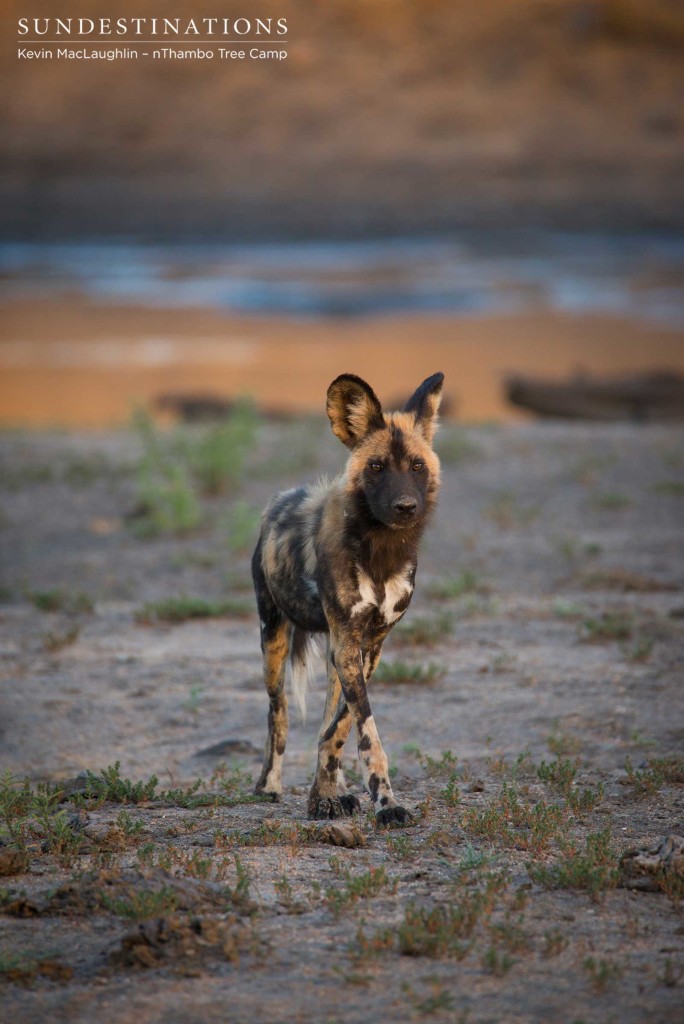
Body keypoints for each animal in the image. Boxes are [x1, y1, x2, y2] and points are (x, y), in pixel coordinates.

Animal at [250, 372, 444, 827]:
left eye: (417, 466)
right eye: (376, 467)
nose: (405, 506)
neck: (381, 552)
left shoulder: (369, 645)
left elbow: (338, 729)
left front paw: (327, 795)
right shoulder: (349, 643)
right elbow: (366, 733)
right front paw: (384, 804)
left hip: (335, 655)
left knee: (327, 717)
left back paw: (336, 788)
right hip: (273, 642)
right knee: (278, 712)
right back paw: (269, 785)